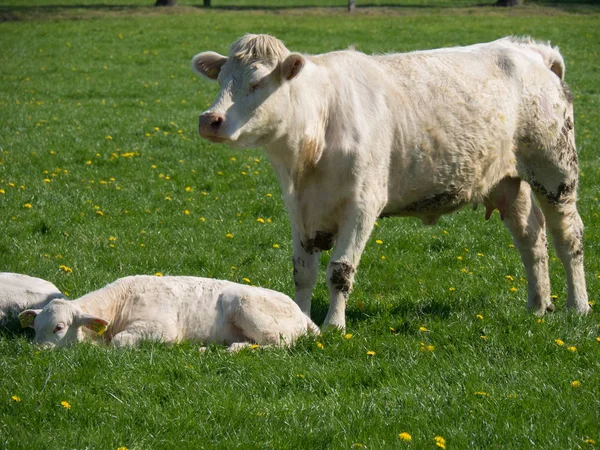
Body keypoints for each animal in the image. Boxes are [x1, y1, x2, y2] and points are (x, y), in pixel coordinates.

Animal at [18, 274, 318, 352]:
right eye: (34, 328)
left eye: (58, 328)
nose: (38, 351)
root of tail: (303, 315)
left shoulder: (162, 329)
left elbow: (120, 342)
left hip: (248, 308)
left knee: (278, 345)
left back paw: (233, 349)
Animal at [192, 35, 592, 328]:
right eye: (222, 79)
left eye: (258, 82)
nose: (209, 119)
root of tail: (529, 50)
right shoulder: (300, 209)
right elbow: (302, 271)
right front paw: (302, 320)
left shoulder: (362, 205)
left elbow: (339, 271)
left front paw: (333, 325)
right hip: (508, 182)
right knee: (531, 238)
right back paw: (538, 305)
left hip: (555, 171)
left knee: (567, 236)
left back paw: (578, 306)